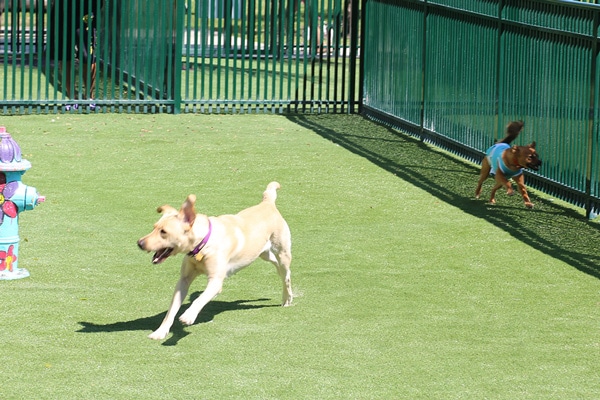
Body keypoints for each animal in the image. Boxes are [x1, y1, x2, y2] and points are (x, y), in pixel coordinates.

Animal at [139, 182, 292, 340]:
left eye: (163, 232)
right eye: (154, 227)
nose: (140, 243)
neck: (202, 245)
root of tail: (267, 203)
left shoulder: (216, 281)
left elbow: (199, 299)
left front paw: (189, 315)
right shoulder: (183, 280)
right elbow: (172, 309)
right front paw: (160, 331)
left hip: (283, 253)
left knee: (286, 275)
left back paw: (287, 298)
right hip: (262, 253)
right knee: (276, 265)